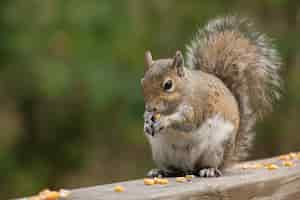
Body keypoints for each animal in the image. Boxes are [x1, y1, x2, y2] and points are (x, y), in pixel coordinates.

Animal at [141, 16, 282, 177]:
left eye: (168, 85)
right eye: (142, 82)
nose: (150, 107)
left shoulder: (196, 106)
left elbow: (187, 122)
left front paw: (164, 121)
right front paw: (146, 119)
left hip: (216, 148)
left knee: (208, 165)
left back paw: (209, 169)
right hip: (161, 152)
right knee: (175, 169)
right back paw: (161, 171)